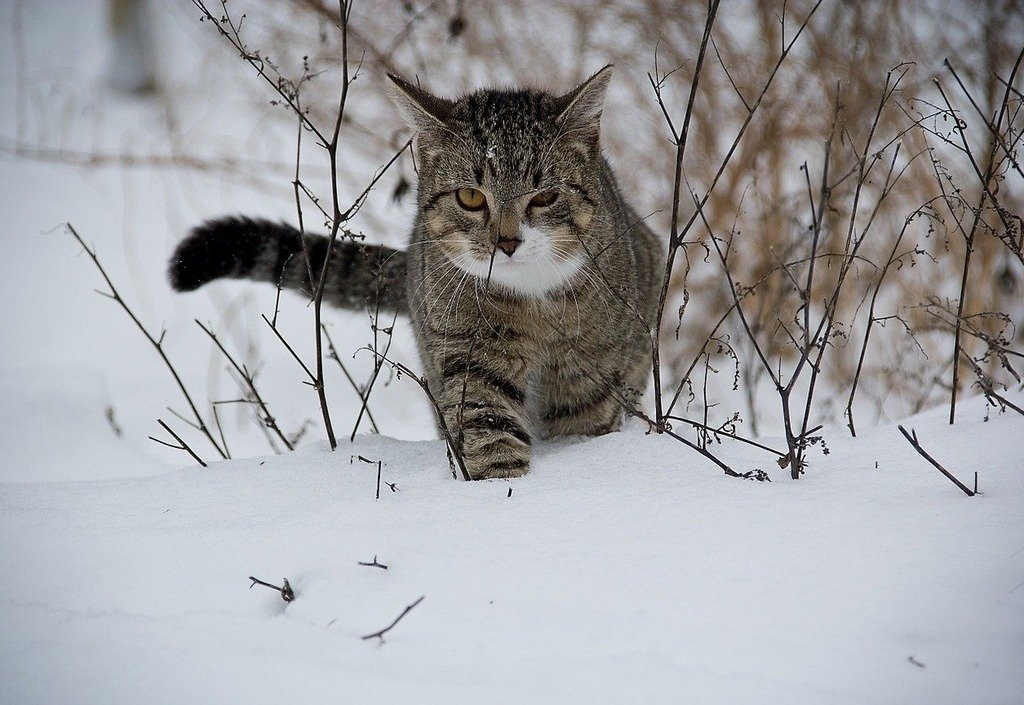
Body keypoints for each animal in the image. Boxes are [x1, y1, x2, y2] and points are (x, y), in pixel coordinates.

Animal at [167, 66, 663, 479]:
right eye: (470, 197)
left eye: (544, 197)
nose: (506, 242)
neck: (531, 299)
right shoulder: (467, 350)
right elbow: (487, 426)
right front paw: (500, 488)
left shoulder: (589, 367)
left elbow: (582, 422)